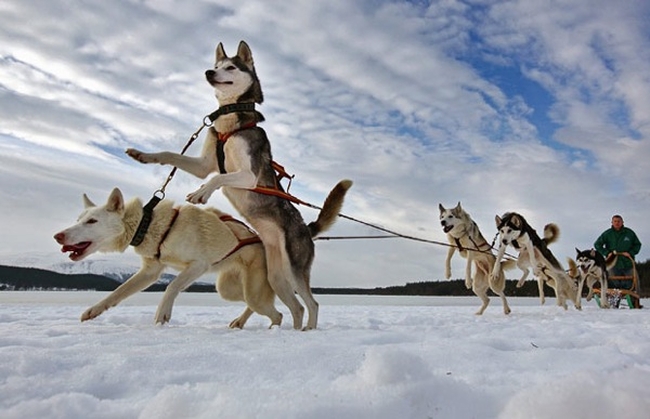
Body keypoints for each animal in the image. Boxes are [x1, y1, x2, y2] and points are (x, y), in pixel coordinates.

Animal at [52, 188, 280, 328]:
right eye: (78, 220)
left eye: (92, 221)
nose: (58, 236)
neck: (150, 225)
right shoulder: (150, 272)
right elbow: (118, 292)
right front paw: (94, 310)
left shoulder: (198, 265)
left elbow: (172, 286)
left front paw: (162, 314)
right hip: (228, 289)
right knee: (255, 305)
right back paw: (240, 322)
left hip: (250, 291)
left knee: (276, 312)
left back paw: (274, 327)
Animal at [124, 42, 352, 332]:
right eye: (217, 65)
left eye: (231, 67)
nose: (209, 72)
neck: (230, 122)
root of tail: (306, 228)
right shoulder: (204, 164)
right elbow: (170, 155)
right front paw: (142, 155)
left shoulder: (248, 175)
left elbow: (217, 179)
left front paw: (201, 193)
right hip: (276, 276)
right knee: (297, 307)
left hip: (295, 269)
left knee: (313, 304)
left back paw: (308, 331)